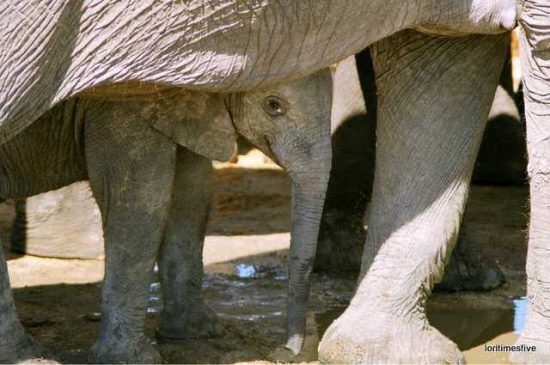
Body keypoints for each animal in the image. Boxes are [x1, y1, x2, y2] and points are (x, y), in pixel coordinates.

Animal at [0, 69, 332, 362]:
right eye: (273, 106)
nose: (285, 352)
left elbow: (191, 191)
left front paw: (197, 332)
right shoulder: (123, 104)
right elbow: (141, 196)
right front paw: (133, 359)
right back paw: (33, 356)